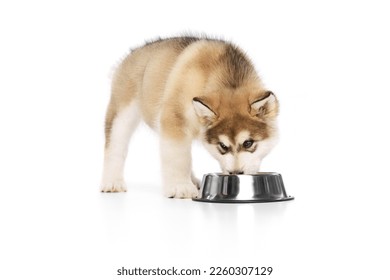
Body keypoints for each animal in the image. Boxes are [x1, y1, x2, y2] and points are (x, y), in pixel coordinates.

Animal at [100, 37, 278, 198]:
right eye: (223, 146)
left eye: (248, 143)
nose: (236, 173)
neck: (229, 80)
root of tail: (135, 51)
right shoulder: (174, 118)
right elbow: (178, 156)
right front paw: (181, 187)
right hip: (123, 113)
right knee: (115, 145)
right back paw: (112, 182)